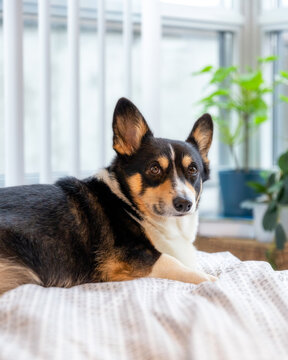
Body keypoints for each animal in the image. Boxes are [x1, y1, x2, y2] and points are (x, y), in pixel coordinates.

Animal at [0, 97, 216, 294]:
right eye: (154, 169)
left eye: (193, 170)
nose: (184, 203)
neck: (128, 204)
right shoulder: (129, 258)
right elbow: (171, 262)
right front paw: (210, 279)